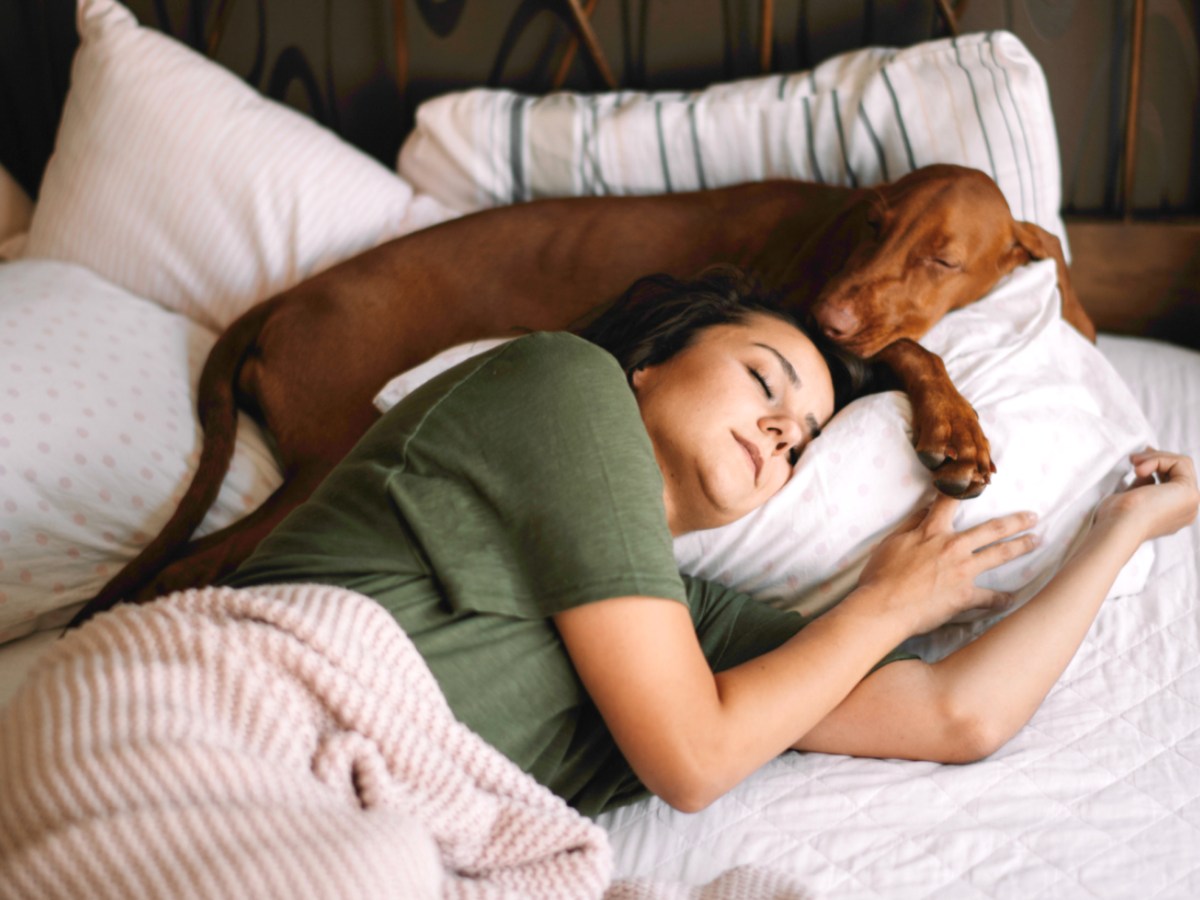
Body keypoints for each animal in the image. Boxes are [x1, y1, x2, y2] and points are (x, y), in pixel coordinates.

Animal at [72, 164, 1089, 619]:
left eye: (942, 258)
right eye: (874, 223)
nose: (833, 316)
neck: (827, 229)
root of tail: (287, 298)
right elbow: (915, 347)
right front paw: (956, 428)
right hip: (325, 457)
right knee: (192, 564)